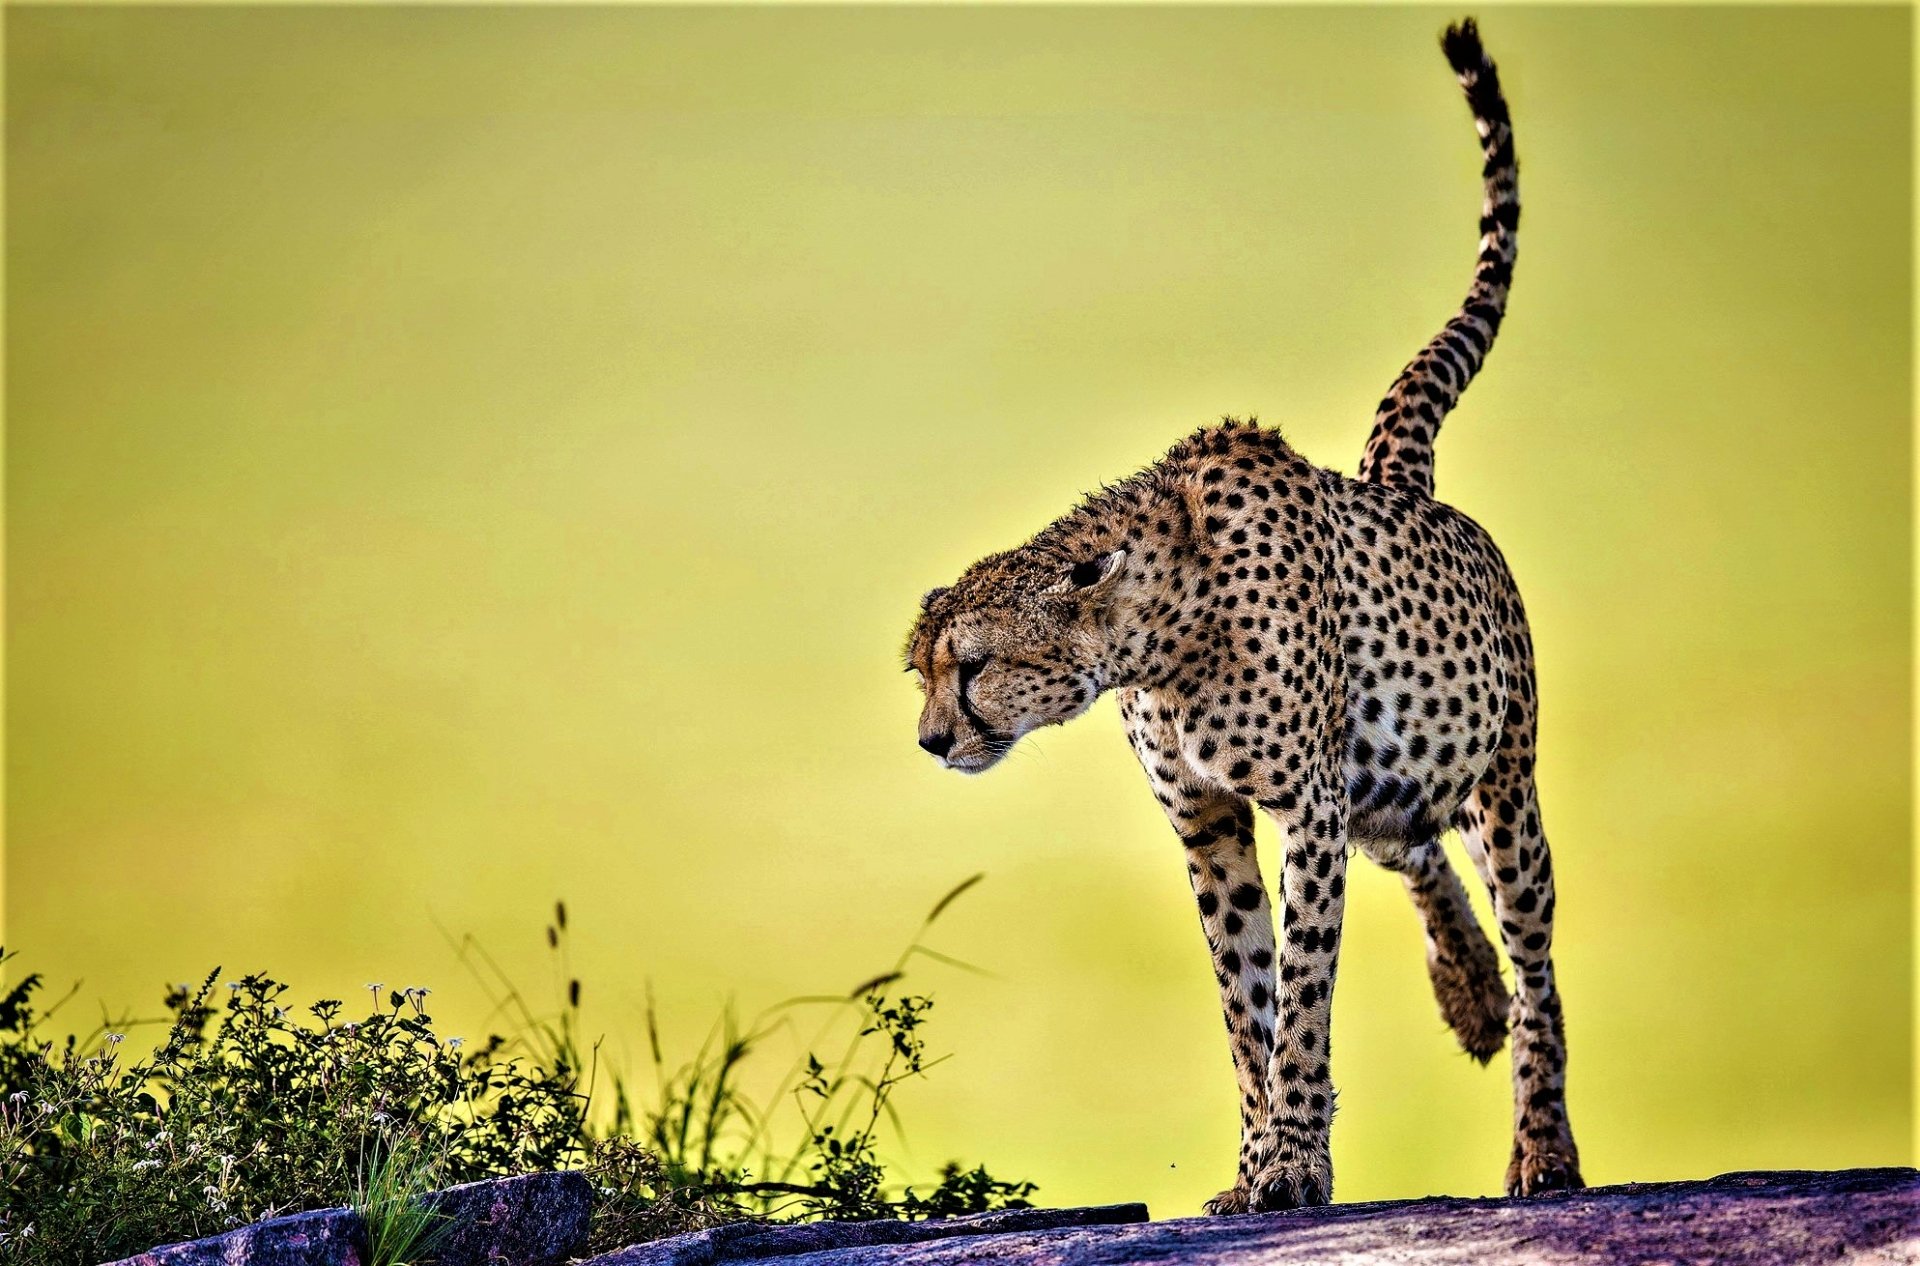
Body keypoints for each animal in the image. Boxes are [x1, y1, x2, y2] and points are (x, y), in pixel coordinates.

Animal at [902, 19, 1579, 1213]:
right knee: (1417, 849)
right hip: (1398, 781)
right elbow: (1242, 1000)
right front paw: (1258, 1157)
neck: (1162, 637)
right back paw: (1470, 995)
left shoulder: (1304, 806)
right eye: (925, 673)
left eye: (972, 668)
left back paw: (1542, 1144)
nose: (935, 740)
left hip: (1503, 784)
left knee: (1535, 951)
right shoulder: (1210, 821)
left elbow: (1300, 992)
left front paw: (1293, 1161)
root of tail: (1398, 477)